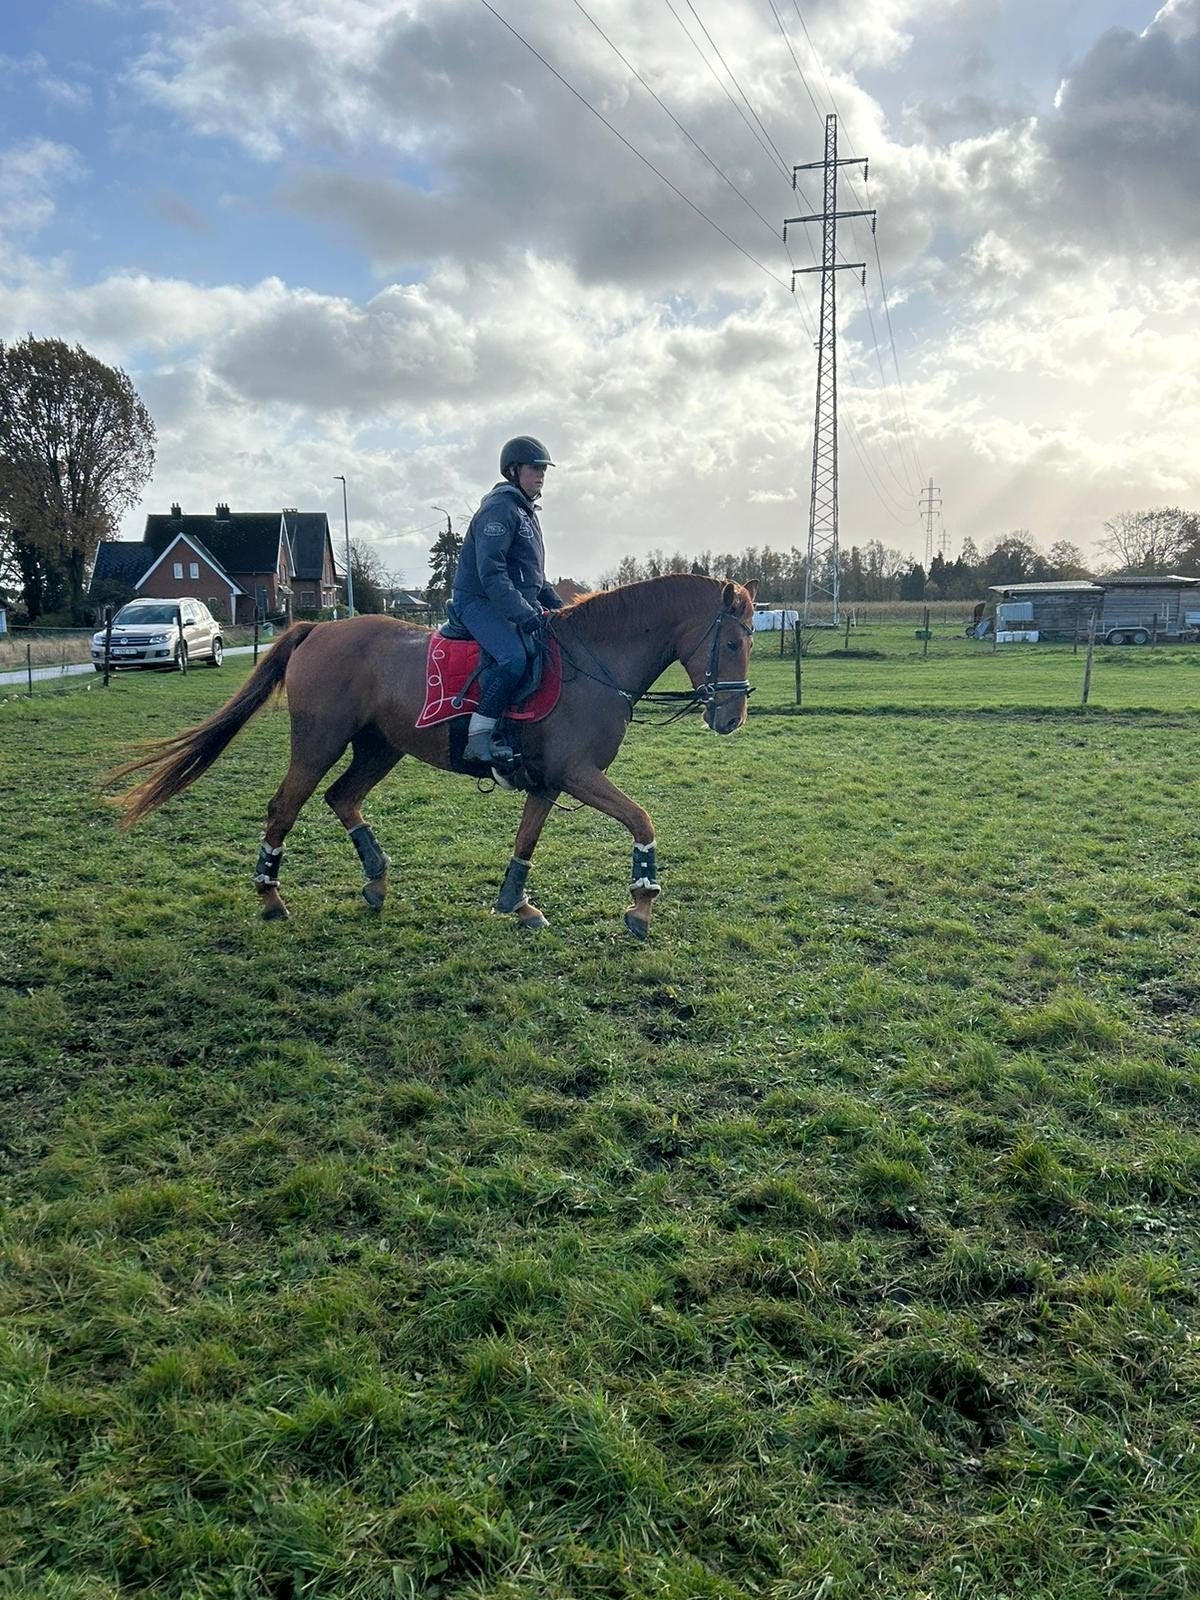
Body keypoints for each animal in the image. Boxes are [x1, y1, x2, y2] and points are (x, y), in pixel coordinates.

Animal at [111, 573, 757, 938]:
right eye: (731, 642)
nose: (731, 718)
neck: (592, 661)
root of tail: (317, 630)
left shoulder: (550, 781)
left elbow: (526, 841)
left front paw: (517, 905)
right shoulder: (577, 774)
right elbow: (642, 821)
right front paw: (642, 906)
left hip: (380, 748)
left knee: (342, 797)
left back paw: (376, 881)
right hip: (319, 744)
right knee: (284, 807)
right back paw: (271, 898)